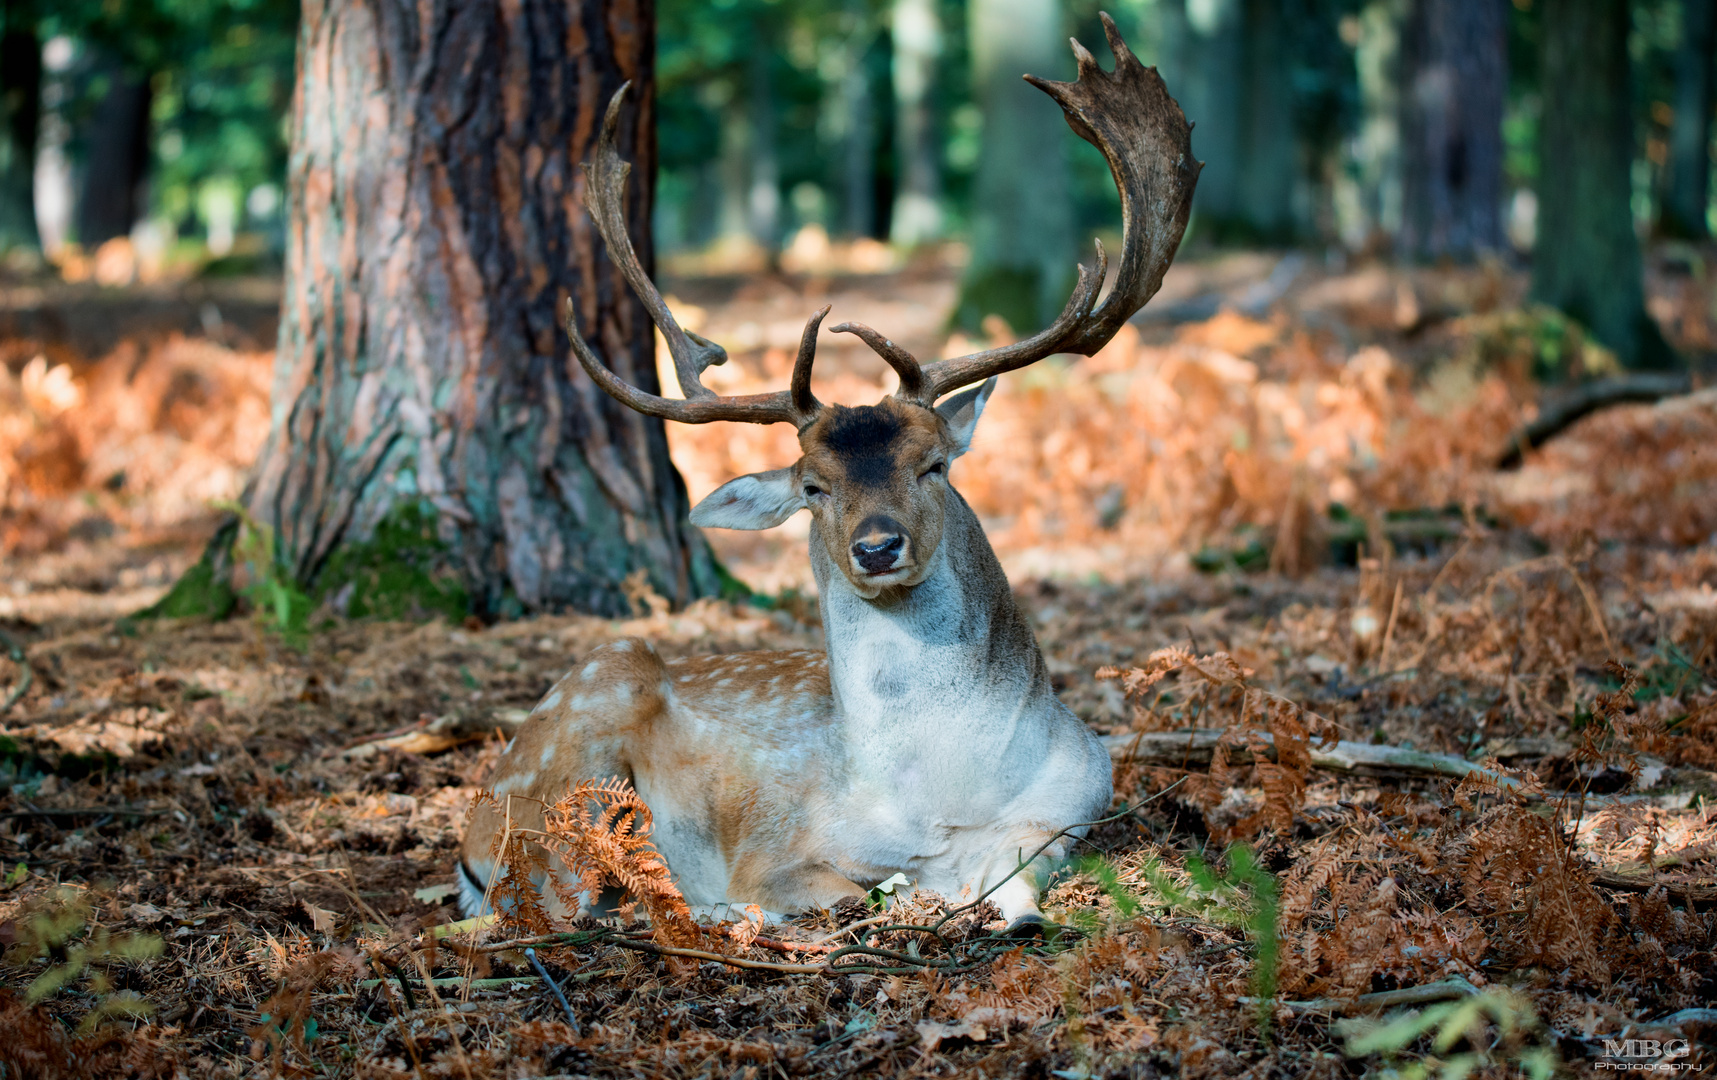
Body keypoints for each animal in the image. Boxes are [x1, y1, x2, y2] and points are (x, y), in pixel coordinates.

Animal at [463, 12, 1201, 927]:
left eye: (932, 466)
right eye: (812, 487)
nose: (877, 547)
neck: (940, 804)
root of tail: (470, 826)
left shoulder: (1073, 807)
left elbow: (1021, 885)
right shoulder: (775, 847)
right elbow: (837, 893)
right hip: (564, 759)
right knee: (551, 893)